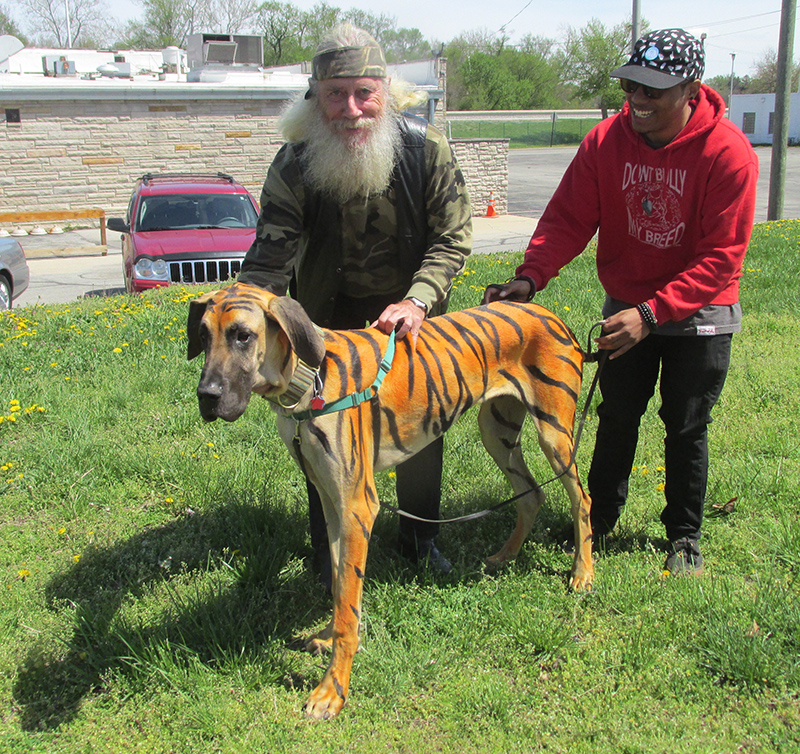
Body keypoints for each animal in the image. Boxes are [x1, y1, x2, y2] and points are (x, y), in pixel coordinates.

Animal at [189, 280, 592, 716]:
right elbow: (338, 584)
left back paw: (582, 572)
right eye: (204, 335)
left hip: (554, 435)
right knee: (531, 495)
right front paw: (328, 635)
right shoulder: (331, 501)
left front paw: (332, 690)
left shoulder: (357, 506)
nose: (206, 395)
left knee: (581, 500)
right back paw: (506, 555)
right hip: (496, 431)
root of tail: (552, 316)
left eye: (243, 336)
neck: (311, 381)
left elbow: (349, 607)